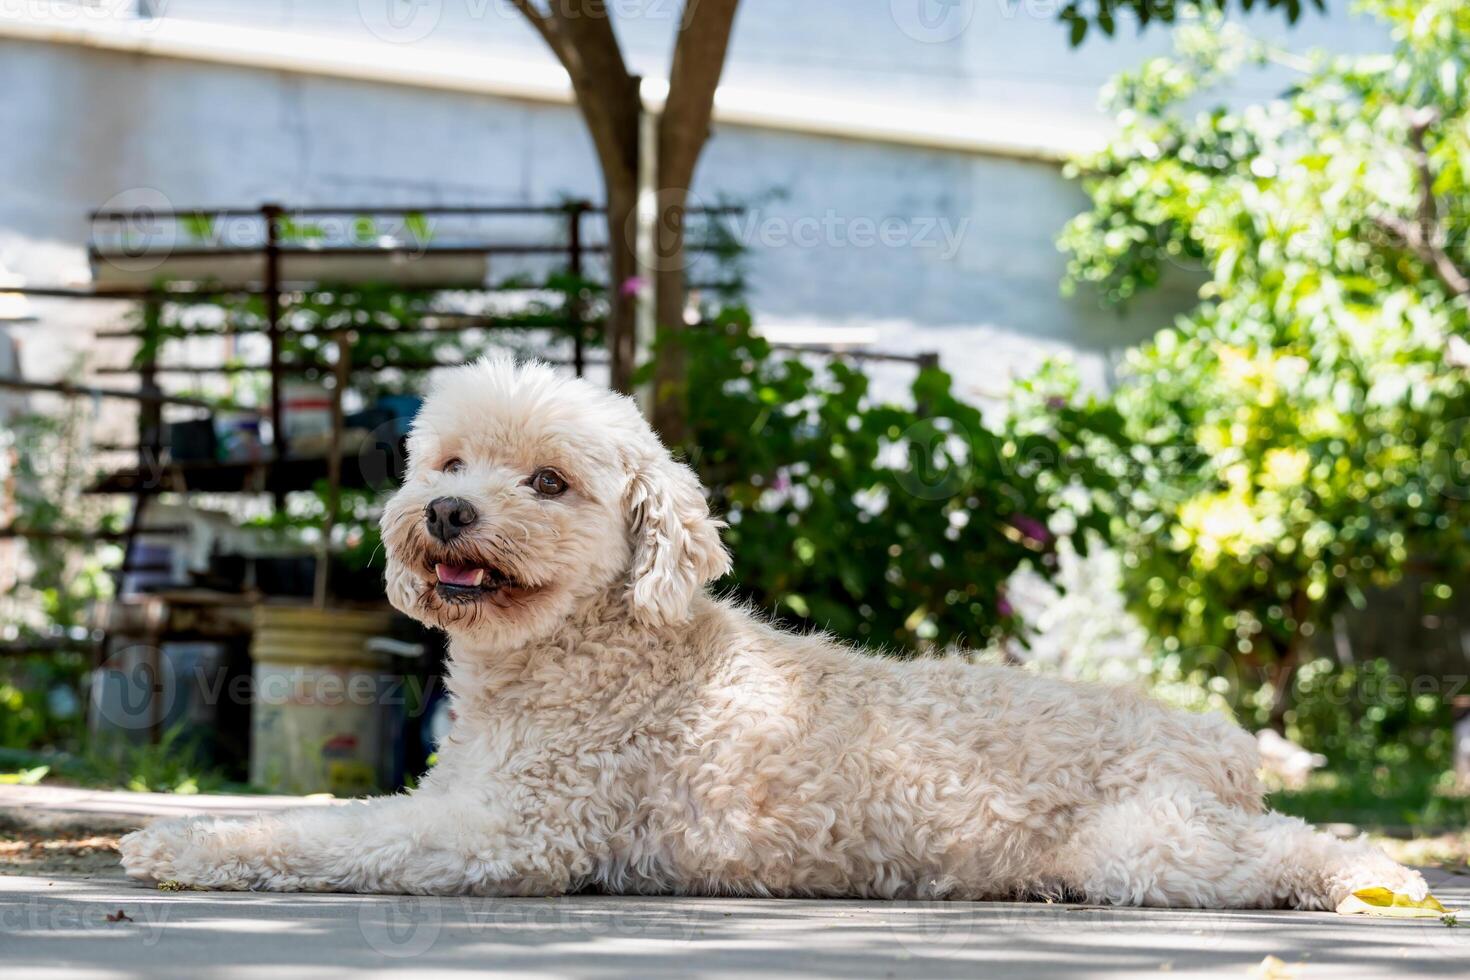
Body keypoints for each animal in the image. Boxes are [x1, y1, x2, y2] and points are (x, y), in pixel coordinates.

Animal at [123, 357, 1422, 910]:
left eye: (546, 481)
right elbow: (326, 816)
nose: (446, 511)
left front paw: (183, 843)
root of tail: (1219, 738)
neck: (596, 650)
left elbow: (326, 832)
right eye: (448, 461)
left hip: (1149, 840)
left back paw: (1374, 876)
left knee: (1292, 846)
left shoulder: (505, 835)